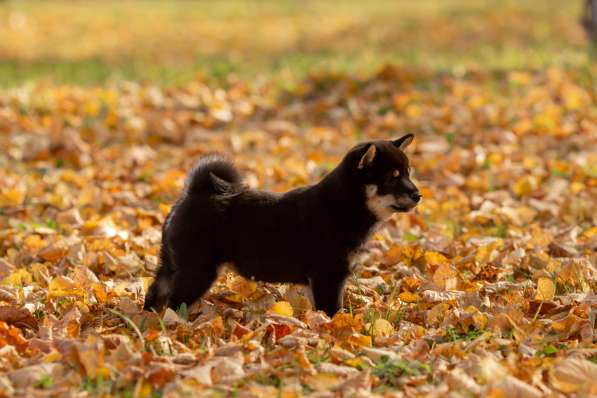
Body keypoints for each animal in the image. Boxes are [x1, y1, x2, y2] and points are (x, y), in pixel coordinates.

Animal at [143, 135, 420, 316]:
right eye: (392, 178)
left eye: (409, 172)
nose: (418, 194)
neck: (344, 205)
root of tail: (193, 193)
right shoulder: (329, 275)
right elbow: (332, 310)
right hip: (198, 270)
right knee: (174, 302)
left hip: (172, 263)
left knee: (155, 292)